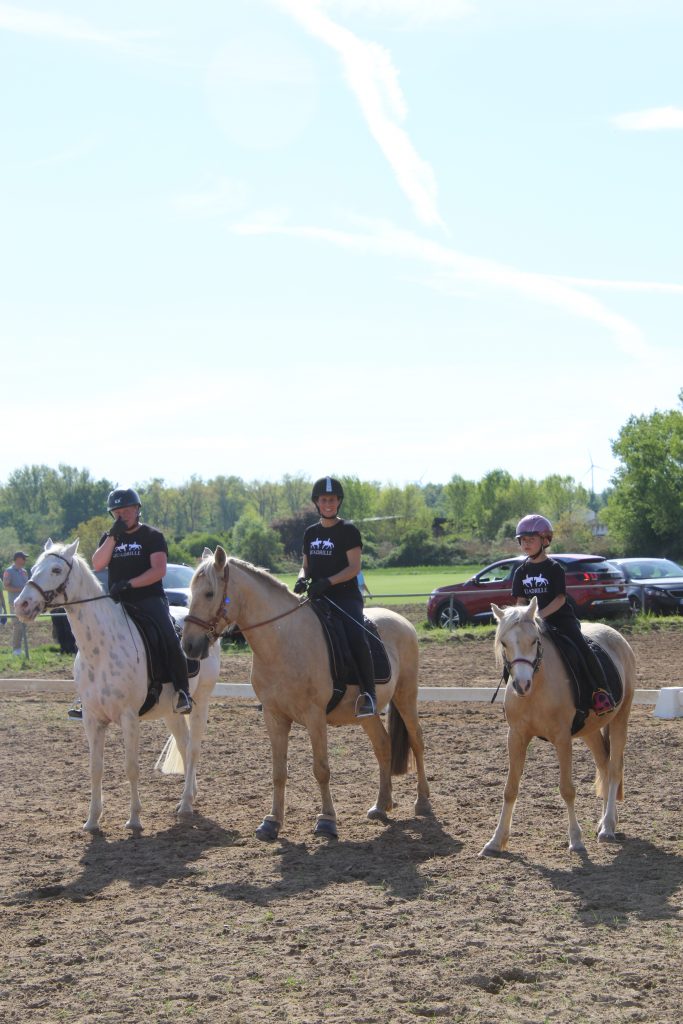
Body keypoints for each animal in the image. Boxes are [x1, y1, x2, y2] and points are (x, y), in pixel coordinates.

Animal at [14, 539, 221, 832]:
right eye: (32, 568)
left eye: (56, 569)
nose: (22, 604)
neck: (100, 648)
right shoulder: (91, 719)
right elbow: (95, 769)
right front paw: (92, 820)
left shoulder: (128, 717)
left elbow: (131, 767)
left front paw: (134, 819)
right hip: (171, 712)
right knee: (183, 745)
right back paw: (187, 798)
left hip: (200, 700)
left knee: (193, 749)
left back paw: (186, 805)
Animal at [181, 546, 432, 841]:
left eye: (209, 593)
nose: (188, 645)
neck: (283, 641)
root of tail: (402, 621)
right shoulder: (274, 716)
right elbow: (279, 772)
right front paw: (272, 822)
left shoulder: (315, 716)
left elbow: (321, 769)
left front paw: (327, 821)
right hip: (367, 713)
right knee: (383, 745)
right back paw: (381, 805)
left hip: (406, 695)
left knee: (417, 740)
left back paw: (422, 802)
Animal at [480, 597, 636, 857]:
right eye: (504, 642)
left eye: (534, 640)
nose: (522, 685)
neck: (537, 688)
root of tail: (616, 635)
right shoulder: (516, 736)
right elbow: (510, 789)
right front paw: (495, 841)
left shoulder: (562, 739)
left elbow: (567, 790)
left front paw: (576, 840)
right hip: (590, 731)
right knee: (604, 765)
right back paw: (606, 821)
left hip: (620, 718)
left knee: (614, 769)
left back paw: (607, 828)